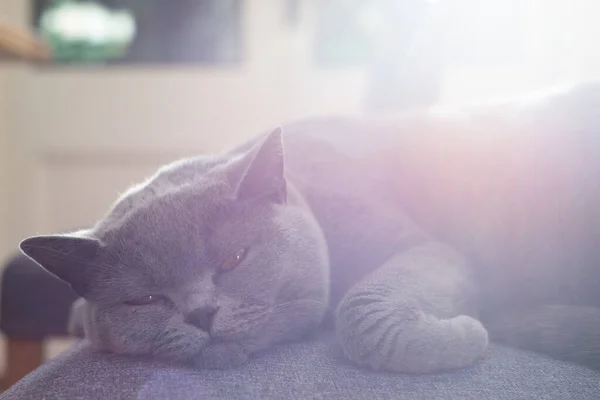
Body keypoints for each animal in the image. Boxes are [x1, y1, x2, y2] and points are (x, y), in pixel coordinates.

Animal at [18, 81, 600, 372]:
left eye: (234, 259)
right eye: (143, 300)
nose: (200, 313)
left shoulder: (427, 248)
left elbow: (360, 310)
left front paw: (467, 335)